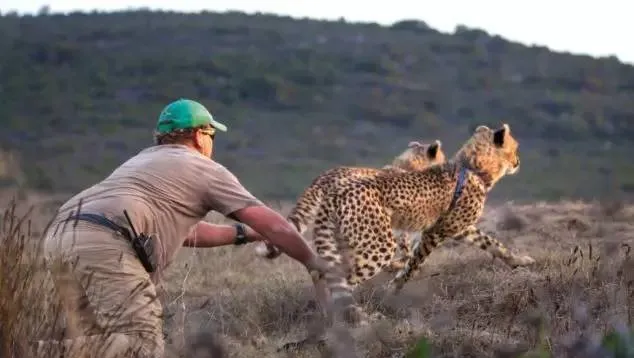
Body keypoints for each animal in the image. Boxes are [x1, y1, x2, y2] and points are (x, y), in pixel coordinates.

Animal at [312, 124, 532, 326]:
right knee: (338, 280)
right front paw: (393, 289)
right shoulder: (434, 233)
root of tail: (335, 192)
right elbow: (412, 265)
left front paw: (519, 261)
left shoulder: (458, 229)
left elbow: (492, 243)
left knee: (321, 272)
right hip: (380, 245)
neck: (473, 168)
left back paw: (329, 312)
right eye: (515, 148)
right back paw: (358, 318)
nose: (518, 162)